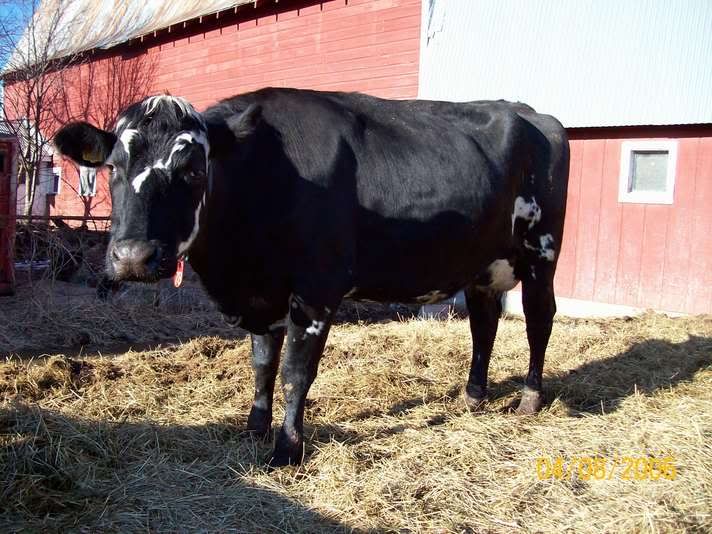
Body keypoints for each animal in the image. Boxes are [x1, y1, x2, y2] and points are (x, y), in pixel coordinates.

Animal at [54, 88, 569, 466]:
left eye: (193, 171)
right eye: (113, 168)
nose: (133, 257)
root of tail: (528, 111)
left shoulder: (317, 291)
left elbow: (295, 372)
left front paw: (287, 448)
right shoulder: (262, 296)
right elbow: (263, 364)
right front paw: (254, 428)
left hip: (542, 252)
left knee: (539, 320)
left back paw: (529, 398)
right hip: (483, 265)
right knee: (484, 323)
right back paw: (472, 396)